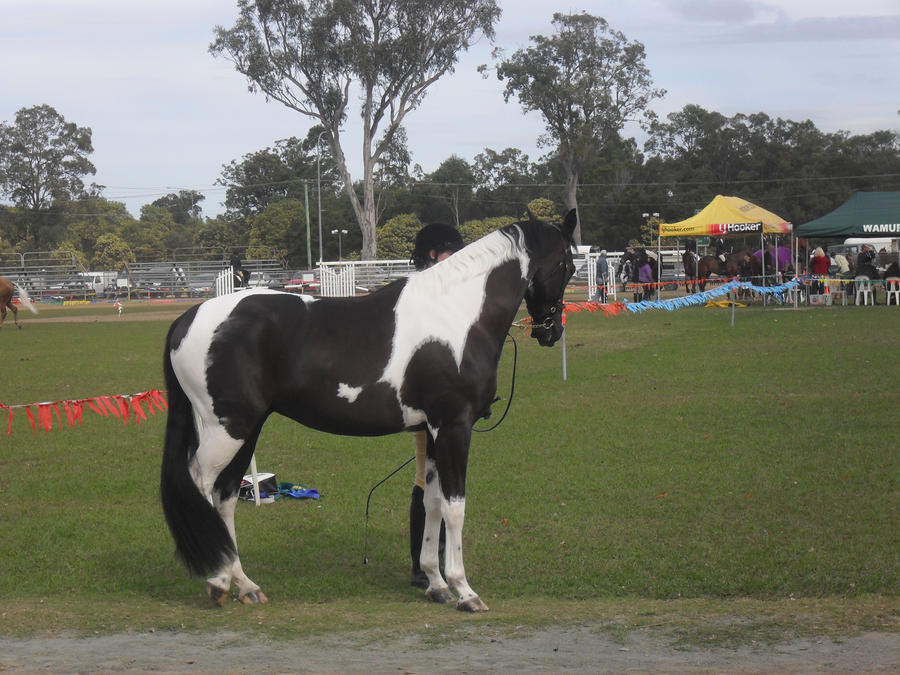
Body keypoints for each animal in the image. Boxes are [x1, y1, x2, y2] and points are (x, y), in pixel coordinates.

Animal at [160, 210, 576, 612]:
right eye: (569, 266)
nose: (550, 331)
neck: (457, 315)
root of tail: (187, 318)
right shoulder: (454, 426)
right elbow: (455, 507)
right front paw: (464, 590)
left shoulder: (432, 431)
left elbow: (431, 503)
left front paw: (436, 584)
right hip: (227, 429)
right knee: (201, 484)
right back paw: (217, 581)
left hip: (246, 429)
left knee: (226, 496)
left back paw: (244, 586)